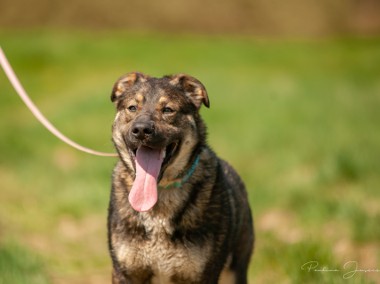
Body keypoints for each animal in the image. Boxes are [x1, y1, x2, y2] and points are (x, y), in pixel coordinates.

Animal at [108, 72, 254, 282]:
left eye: (168, 110)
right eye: (132, 108)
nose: (141, 130)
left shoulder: (204, 275)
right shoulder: (125, 273)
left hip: (236, 269)